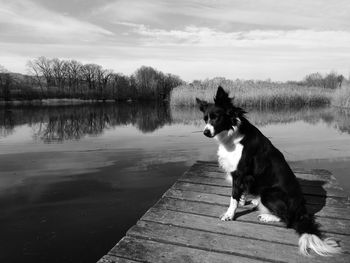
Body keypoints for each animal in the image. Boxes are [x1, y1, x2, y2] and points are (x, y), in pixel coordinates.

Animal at [197, 87, 342, 258]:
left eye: (216, 117)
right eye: (205, 119)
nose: (206, 132)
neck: (232, 133)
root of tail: (301, 211)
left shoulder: (239, 173)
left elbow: (233, 197)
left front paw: (229, 214)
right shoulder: (243, 177)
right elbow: (241, 193)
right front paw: (243, 201)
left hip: (269, 194)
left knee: (288, 220)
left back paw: (266, 216)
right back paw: (256, 202)